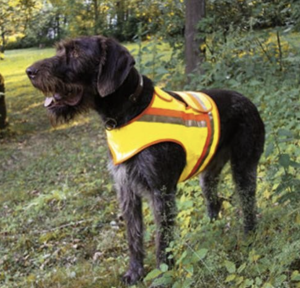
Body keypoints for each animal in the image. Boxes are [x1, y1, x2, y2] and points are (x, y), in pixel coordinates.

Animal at [26, 35, 264, 284]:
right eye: (60, 50)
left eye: (76, 53)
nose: (29, 71)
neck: (127, 111)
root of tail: (249, 101)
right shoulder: (126, 188)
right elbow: (134, 235)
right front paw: (135, 272)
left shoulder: (161, 191)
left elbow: (163, 238)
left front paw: (163, 274)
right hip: (208, 174)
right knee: (214, 201)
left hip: (244, 167)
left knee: (248, 203)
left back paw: (249, 236)